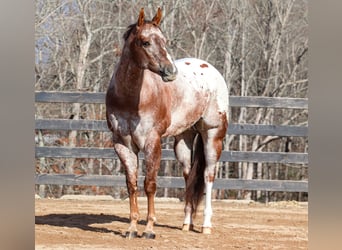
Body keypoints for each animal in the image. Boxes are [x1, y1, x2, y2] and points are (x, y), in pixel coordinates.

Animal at [105, 7, 228, 238]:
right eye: (145, 42)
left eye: (164, 40)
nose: (171, 72)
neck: (131, 98)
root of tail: (209, 69)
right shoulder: (123, 144)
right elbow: (132, 184)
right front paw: (132, 228)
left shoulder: (152, 142)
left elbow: (150, 184)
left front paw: (149, 229)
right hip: (183, 140)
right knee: (189, 176)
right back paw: (187, 223)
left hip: (213, 135)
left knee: (208, 175)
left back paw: (206, 225)